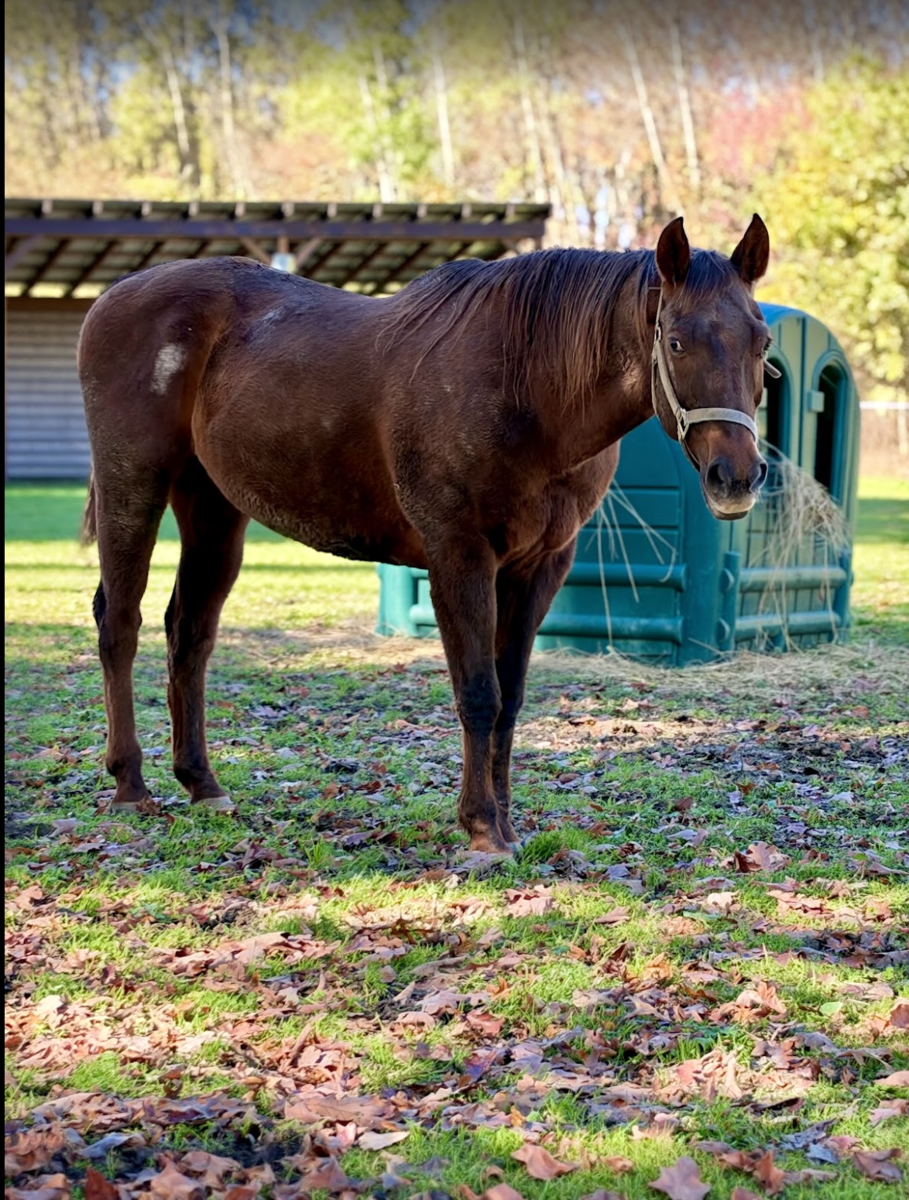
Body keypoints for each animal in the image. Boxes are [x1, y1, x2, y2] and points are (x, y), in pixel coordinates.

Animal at [78, 214, 775, 854]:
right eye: (677, 342)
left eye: (762, 342)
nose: (736, 476)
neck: (525, 384)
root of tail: (115, 296)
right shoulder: (458, 555)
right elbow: (478, 693)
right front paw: (483, 827)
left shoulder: (540, 567)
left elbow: (511, 697)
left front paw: (506, 821)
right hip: (133, 484)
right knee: (121, 621)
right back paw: (130, 784)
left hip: (215, 511)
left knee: (189, 632)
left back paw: (202, 782)